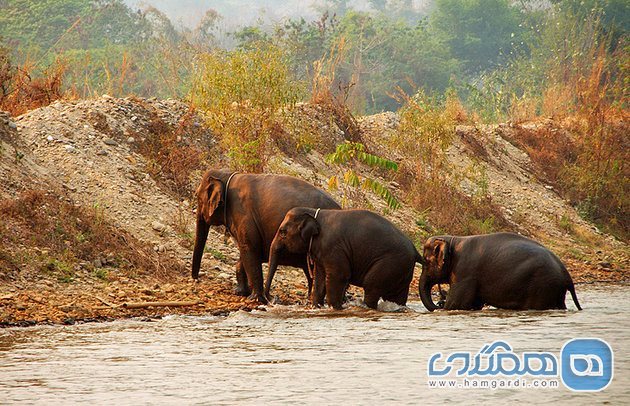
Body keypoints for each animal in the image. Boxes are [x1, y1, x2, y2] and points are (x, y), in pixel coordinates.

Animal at [191, 168, 340, 302]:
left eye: (197, 197)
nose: (196, 279)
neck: (228, 175)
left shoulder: (243, 214)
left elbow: (249, 248)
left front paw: (255, 298)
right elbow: (247, 252)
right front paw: (240, 292)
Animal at [266, 208, 424, 310]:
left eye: (282, 232)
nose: (270, 299)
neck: (314, 213)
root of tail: (415, 250)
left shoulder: (333, 247)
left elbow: (338, 276)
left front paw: (335, 308)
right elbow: (320, 279)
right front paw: (317, 307)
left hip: (390, 263)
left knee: (371, 286)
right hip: (402, 269)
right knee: (397, 295)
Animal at [420, 232, 584, 310]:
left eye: (426, 261)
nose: (439, 301)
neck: (453, 239)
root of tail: (567, 276)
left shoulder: (465, 272)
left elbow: (456, 305)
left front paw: (443, 306)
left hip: (543, 286)